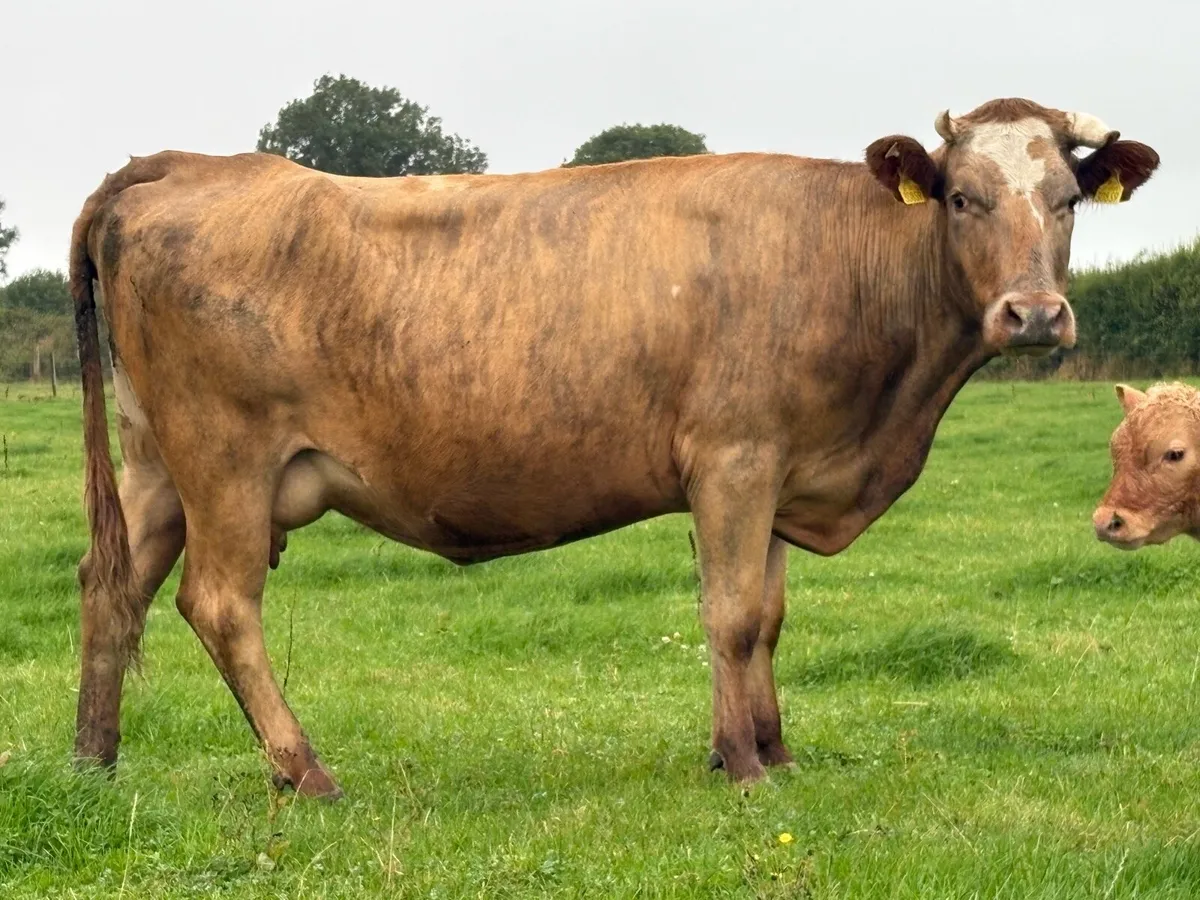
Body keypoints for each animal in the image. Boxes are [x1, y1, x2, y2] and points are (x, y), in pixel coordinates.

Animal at [69, 98, 1159, 798]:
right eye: (963, 198)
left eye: (1065, 201)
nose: (1034, 315)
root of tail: (187, 164)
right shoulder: (734, 459)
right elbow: (729, 617)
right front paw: (745, 768)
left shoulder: (781, 471)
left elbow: (766, 617)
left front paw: (768, 751)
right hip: (226, 461)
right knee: (221, 605)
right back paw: (306, 772)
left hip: (155, 465)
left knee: (111, 587)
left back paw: (95, 761)